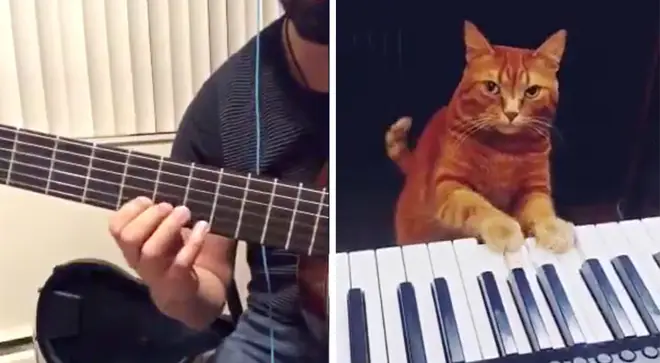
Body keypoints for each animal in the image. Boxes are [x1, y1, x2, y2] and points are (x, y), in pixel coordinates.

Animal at [384, 19, 576, 253]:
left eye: (532, 91)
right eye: (491, 87)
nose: (511, 113)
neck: (505, 149)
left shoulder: (534, 188)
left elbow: (541, 210)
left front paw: (554, 229)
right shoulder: (448, 184)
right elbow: (477, 205)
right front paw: (504, 229)